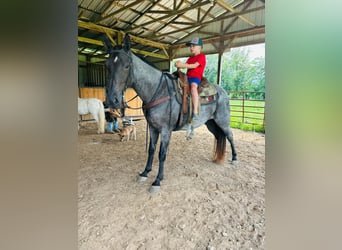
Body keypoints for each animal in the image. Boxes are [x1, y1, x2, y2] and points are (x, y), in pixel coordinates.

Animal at [104, 33, 238, 193]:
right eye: (107, 66)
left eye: (126, 66)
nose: (112, 100)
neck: (158, 91)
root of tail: (223, 92)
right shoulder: (153, 128)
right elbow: (151, 150)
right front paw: (145, 173)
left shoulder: (165, 130)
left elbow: (162, 154)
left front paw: (157, 181)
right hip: (211, 123)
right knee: (219, 136)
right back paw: (217, 157)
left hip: (223, 121)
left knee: (230, 136)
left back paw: (234, 159)